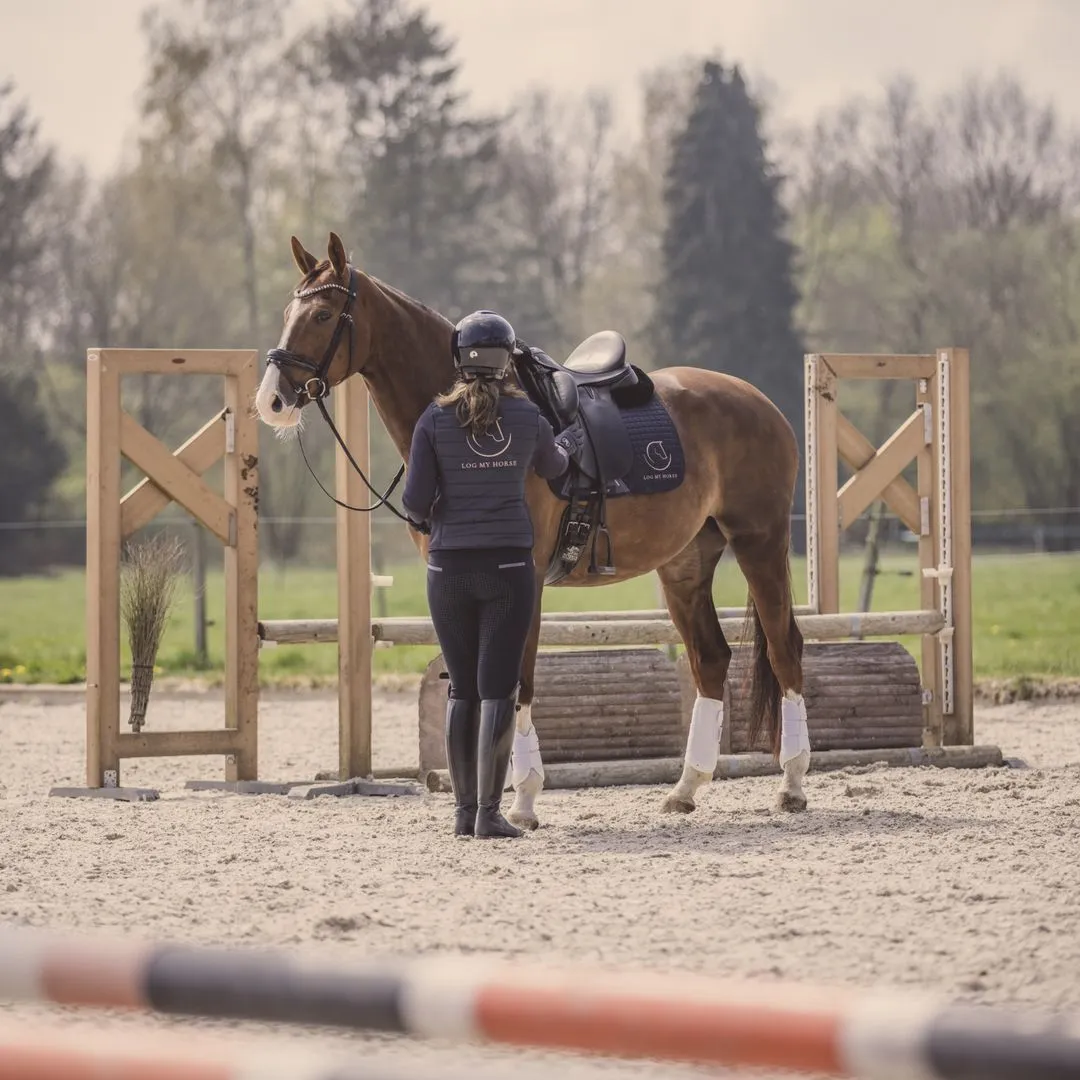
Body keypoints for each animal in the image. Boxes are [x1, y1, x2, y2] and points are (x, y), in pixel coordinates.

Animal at [255, 232, 810, 829]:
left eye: (324, 314)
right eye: (286, 313)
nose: (271, 401)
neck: (477, 413)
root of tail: (758, 401)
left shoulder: (523, 582)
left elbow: (516, 681)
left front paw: (521, 799)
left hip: (760, 542)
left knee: (785, 648)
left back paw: (793, 783)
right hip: (685, 563)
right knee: (711, 659)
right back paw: (686, 788)